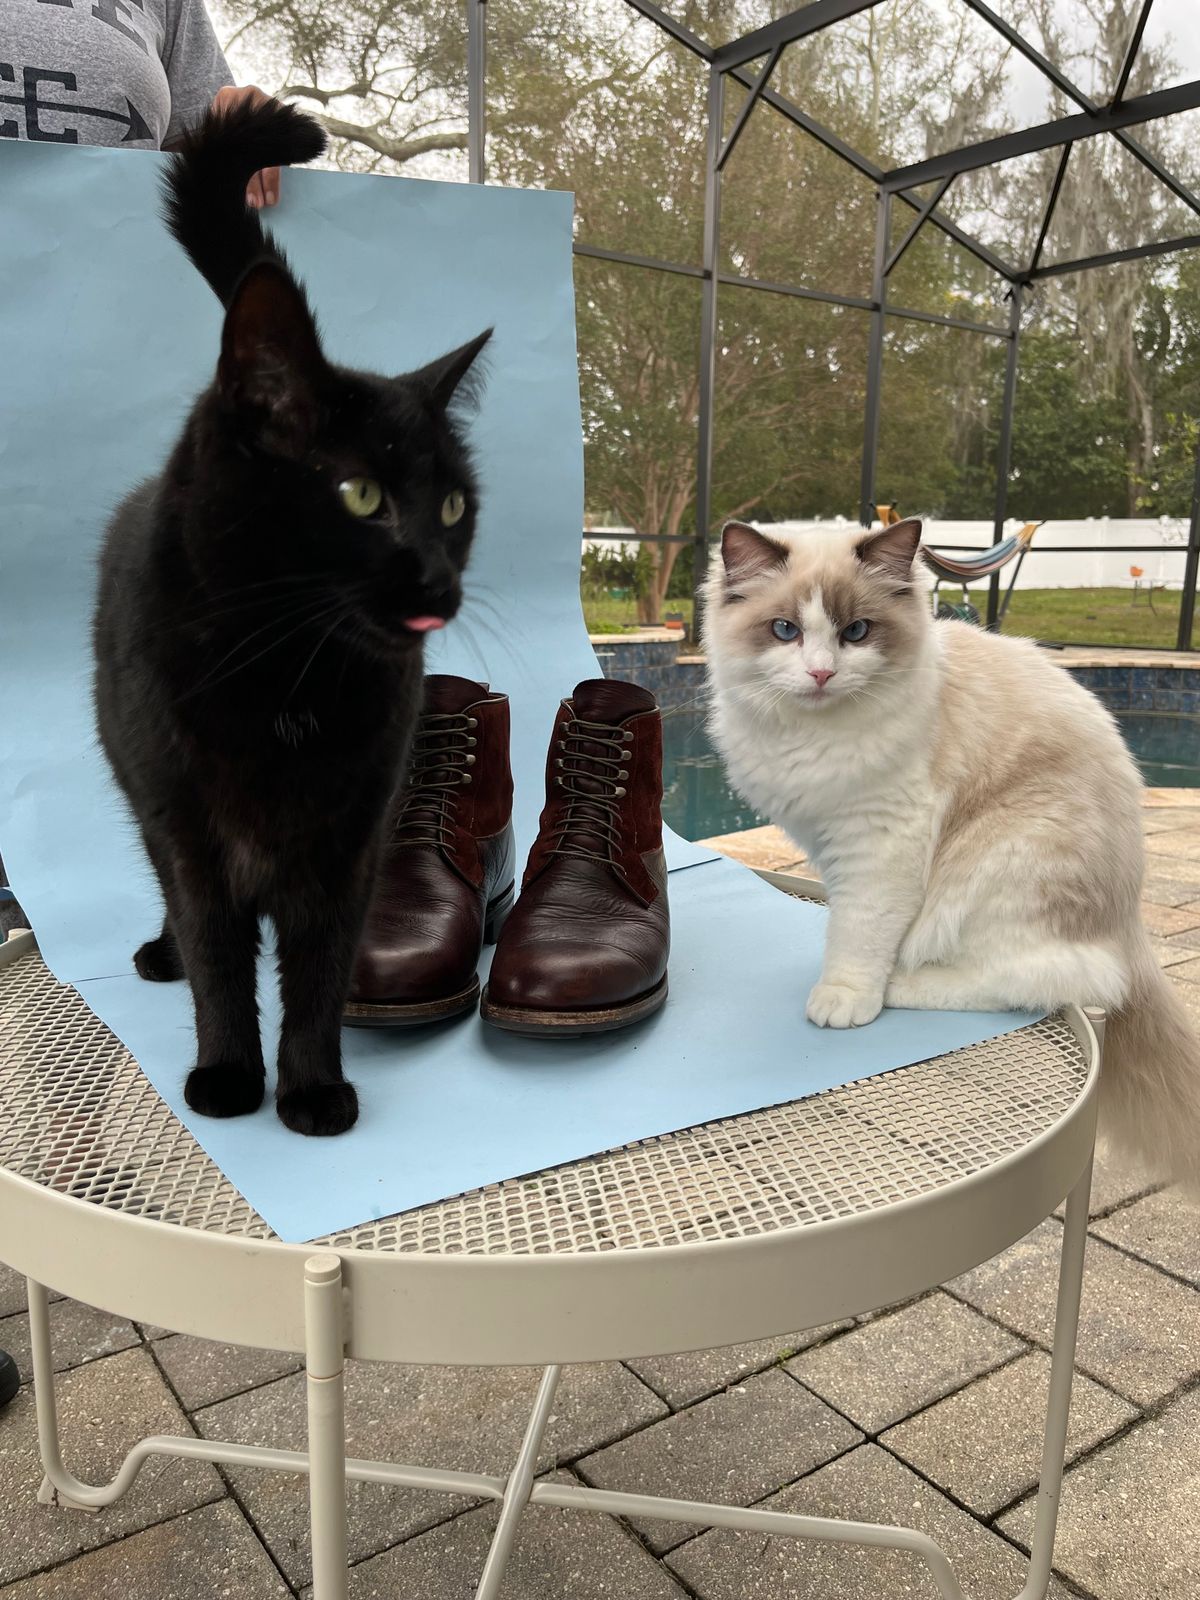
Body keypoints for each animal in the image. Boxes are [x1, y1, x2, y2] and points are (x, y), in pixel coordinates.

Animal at [90, 100, 489, 1132]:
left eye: (454, 506)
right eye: (360, 495)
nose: (440, 581)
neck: (288, 675)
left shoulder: (353, 832)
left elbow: (319, 964)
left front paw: (311, 1087)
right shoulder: (190, 824)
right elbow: (221, 955)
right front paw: (230, 1074)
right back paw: (162, 955)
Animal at [704, 518, 1200, 1184]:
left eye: (856, 632)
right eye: (786, 630)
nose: (820, 674)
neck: (813, 734)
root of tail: (1132, 923)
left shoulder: (883, 839)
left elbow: (860, 931)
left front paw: (847, 996)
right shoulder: (831, 840)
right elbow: (852, 923)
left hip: (1000, 866)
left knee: (1052, 979)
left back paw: (901, 985)